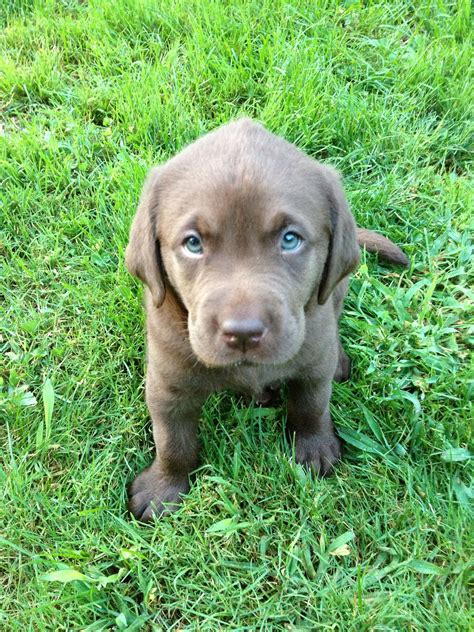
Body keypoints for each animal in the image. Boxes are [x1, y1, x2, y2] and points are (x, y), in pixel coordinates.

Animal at [125, 118, 408, 524]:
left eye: (290, 240)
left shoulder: (312, 363)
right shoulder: (168, 383)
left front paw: (315, 449)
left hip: (336, 289)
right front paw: (163, 488)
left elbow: (311, 407)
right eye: (193, 244)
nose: (243, 333)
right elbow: (172, 440)